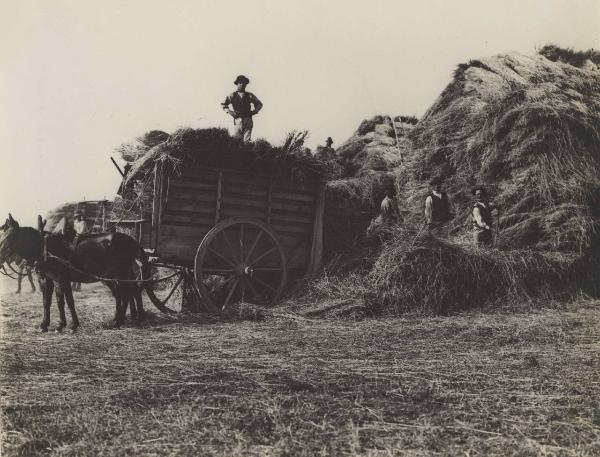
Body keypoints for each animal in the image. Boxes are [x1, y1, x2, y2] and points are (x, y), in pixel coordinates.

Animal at [0, 214, 173, 332]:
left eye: (11, 235)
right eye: (2, 234)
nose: (1, 254)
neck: (46, 248)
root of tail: (132, 240)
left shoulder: (60, 279)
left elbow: (64, 301)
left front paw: (65, 325)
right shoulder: (47, 279)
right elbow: (50, 302)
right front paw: (47, 324)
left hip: (121, 273)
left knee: (128, 293)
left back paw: (123, 321)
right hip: (114, 275)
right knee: (128, 292)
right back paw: (128, 319)